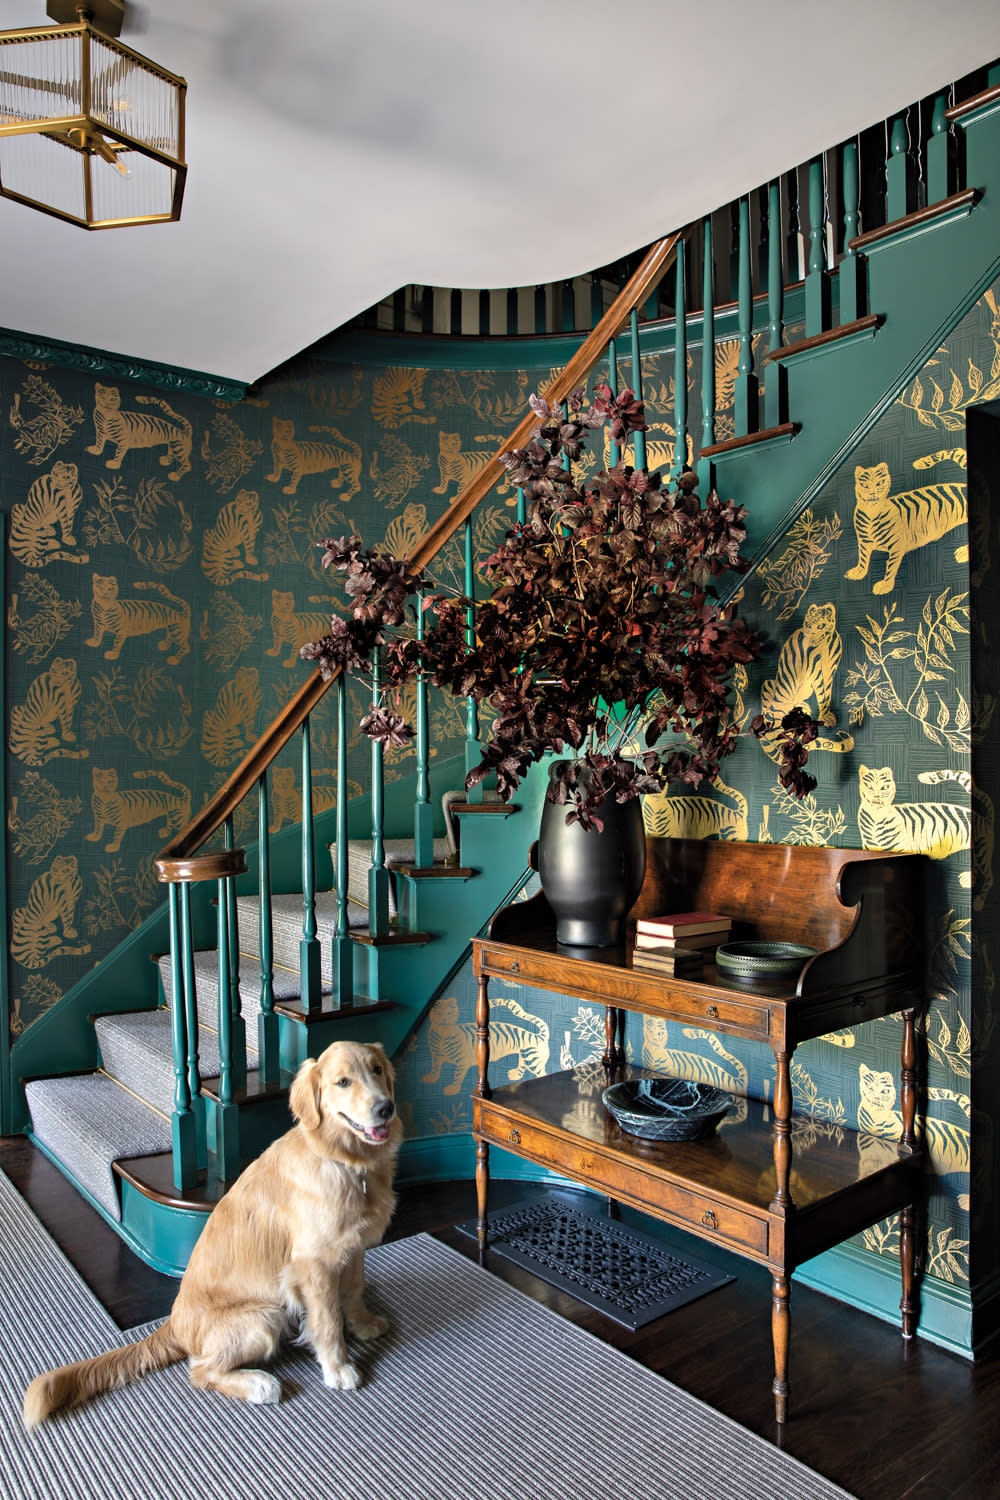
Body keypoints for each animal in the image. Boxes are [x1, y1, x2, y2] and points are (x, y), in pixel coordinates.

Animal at [21, 1038, 401, 1422]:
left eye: (377, 1070)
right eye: (343, 1082)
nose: (386, 1108)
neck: (347, 1162)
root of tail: (175, 1323)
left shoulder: (352, 1248)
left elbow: (353, 1291)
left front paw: (364, 1325)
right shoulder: (314, 1265)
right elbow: (327, 1321)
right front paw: (337, 1368)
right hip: (265, 1317)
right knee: (200, 1371)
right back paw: (259, 1384)